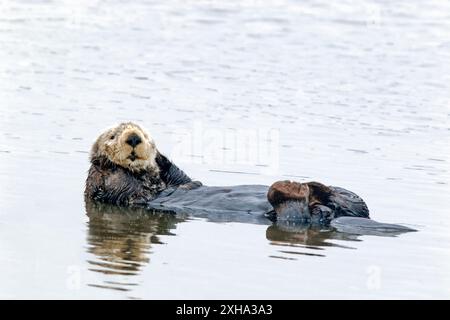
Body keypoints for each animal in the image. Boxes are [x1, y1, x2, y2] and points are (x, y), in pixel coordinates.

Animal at [84, 123, 414, 232]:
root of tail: (336, 216)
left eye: (143, 132)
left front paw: (159, 155)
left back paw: (312, 185)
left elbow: (182, 177)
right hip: (293, 217)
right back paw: (293, 188)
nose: (134, 138)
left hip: (350, 200)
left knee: (351, 200)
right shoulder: (113, 186)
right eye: (113, 135)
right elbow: (122, 186)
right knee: (296, 211)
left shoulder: (176, 179)